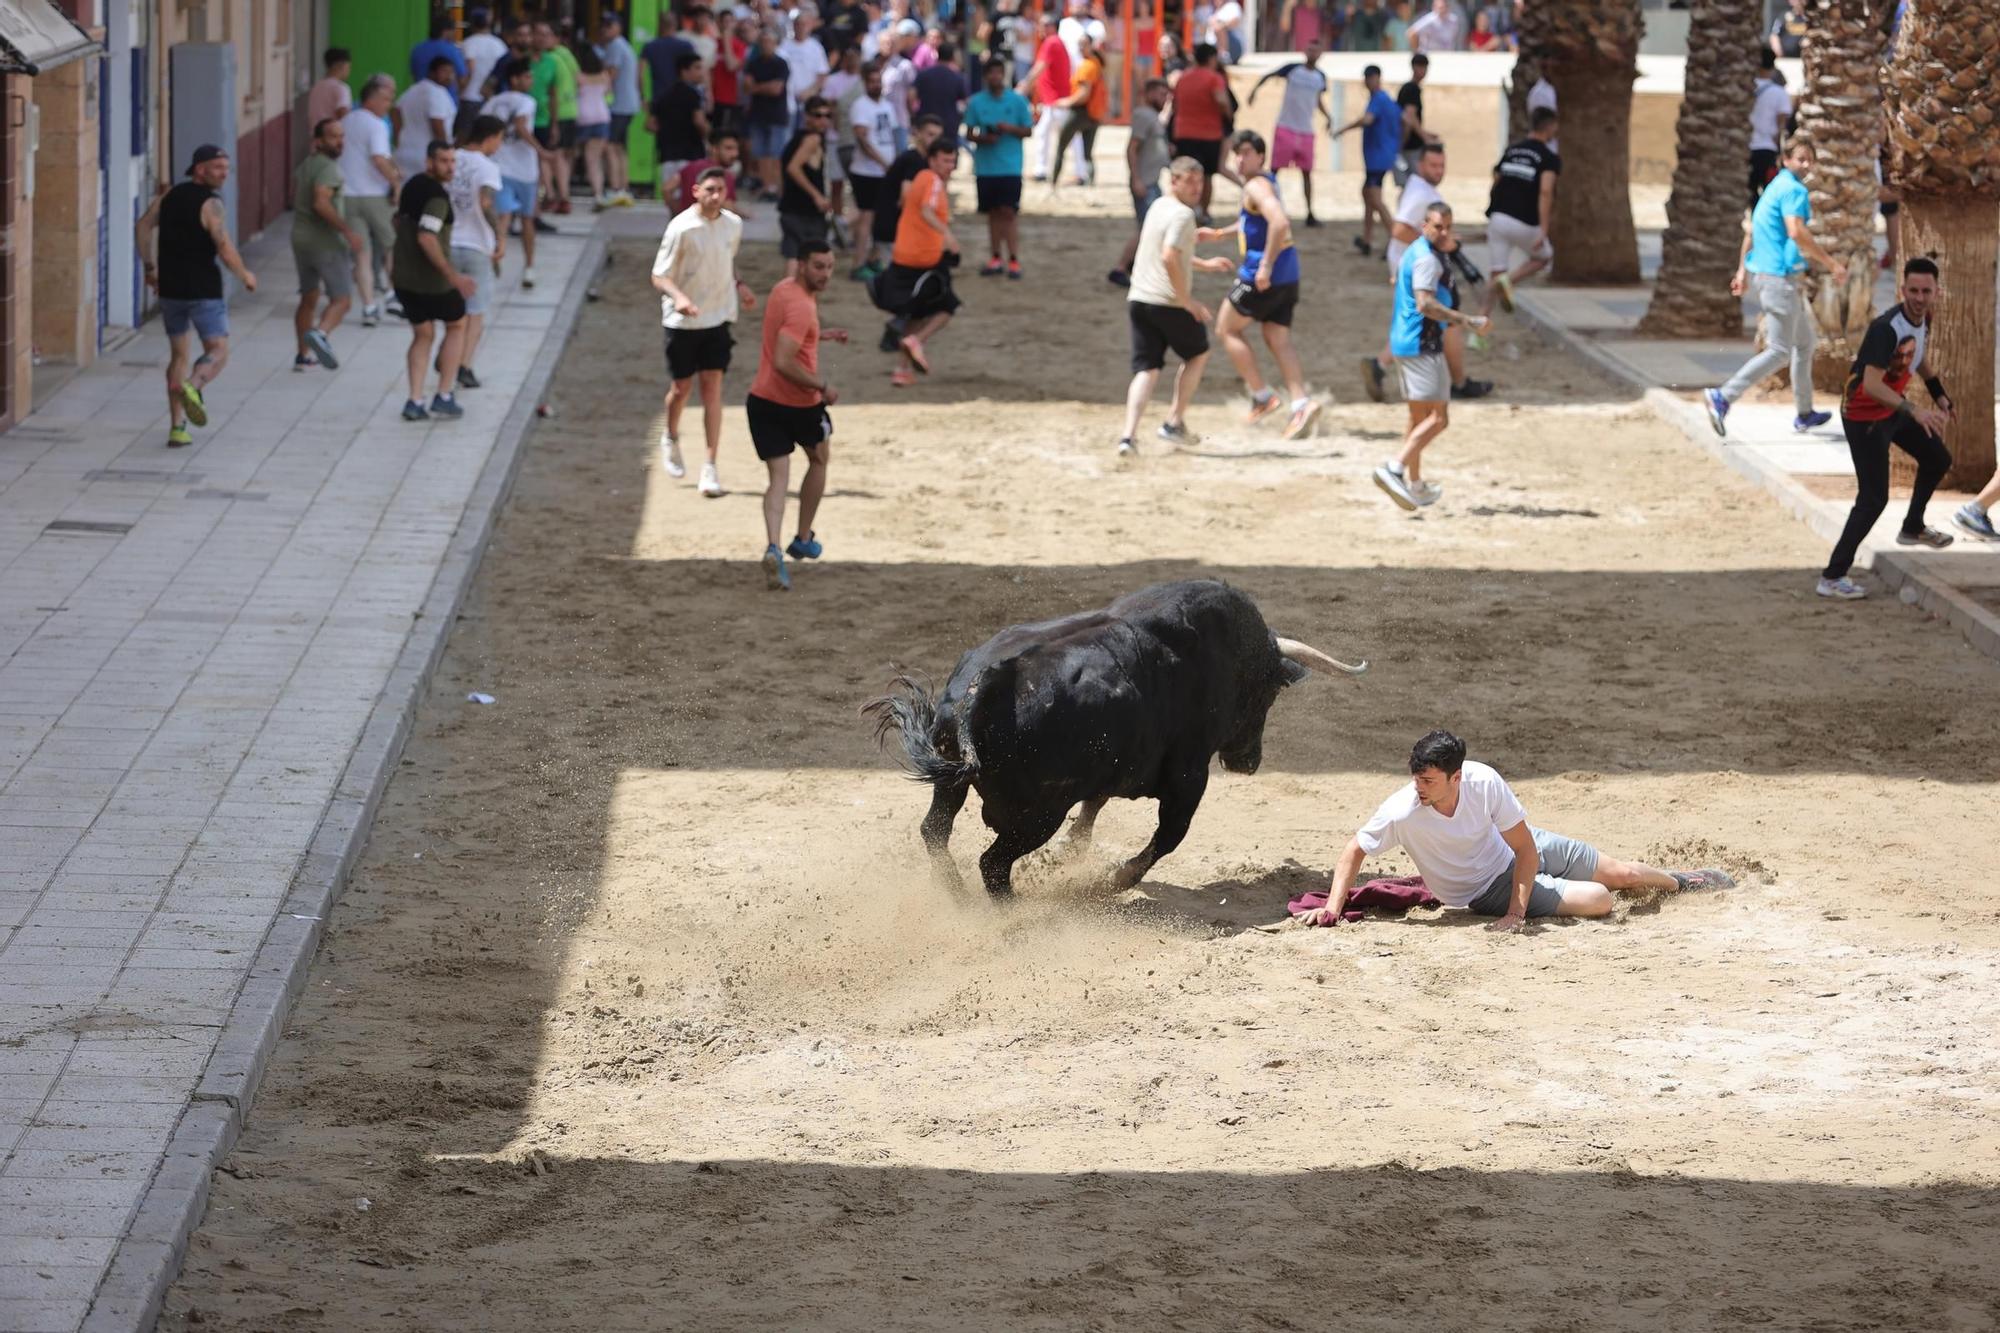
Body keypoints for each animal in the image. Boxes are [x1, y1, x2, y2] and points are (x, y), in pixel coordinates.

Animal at [860, 580, 1360, 892]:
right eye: (1269, 694)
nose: (1248, 762)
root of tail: (984, 684)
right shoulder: (1189, 774)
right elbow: (1170, 834)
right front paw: (1116, 881)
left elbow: (1095, 805)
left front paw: (1075, 851)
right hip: (1038, 815)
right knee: (993, 864)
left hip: (953, 784)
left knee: (934, 832)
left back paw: (956, 895)